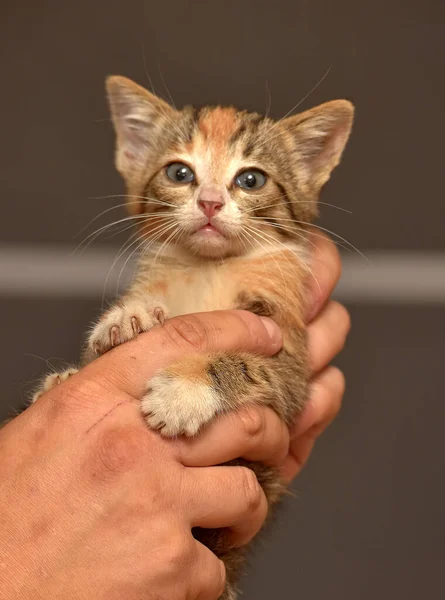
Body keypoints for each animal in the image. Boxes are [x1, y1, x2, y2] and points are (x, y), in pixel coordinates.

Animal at [33, 77, 354, 600]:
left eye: (251, 180)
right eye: (180, 172)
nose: (209, 202)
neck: (209, 270)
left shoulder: (290, 361)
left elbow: (250, 364)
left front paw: (183, 392)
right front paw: (130, 318)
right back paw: (56, 382)